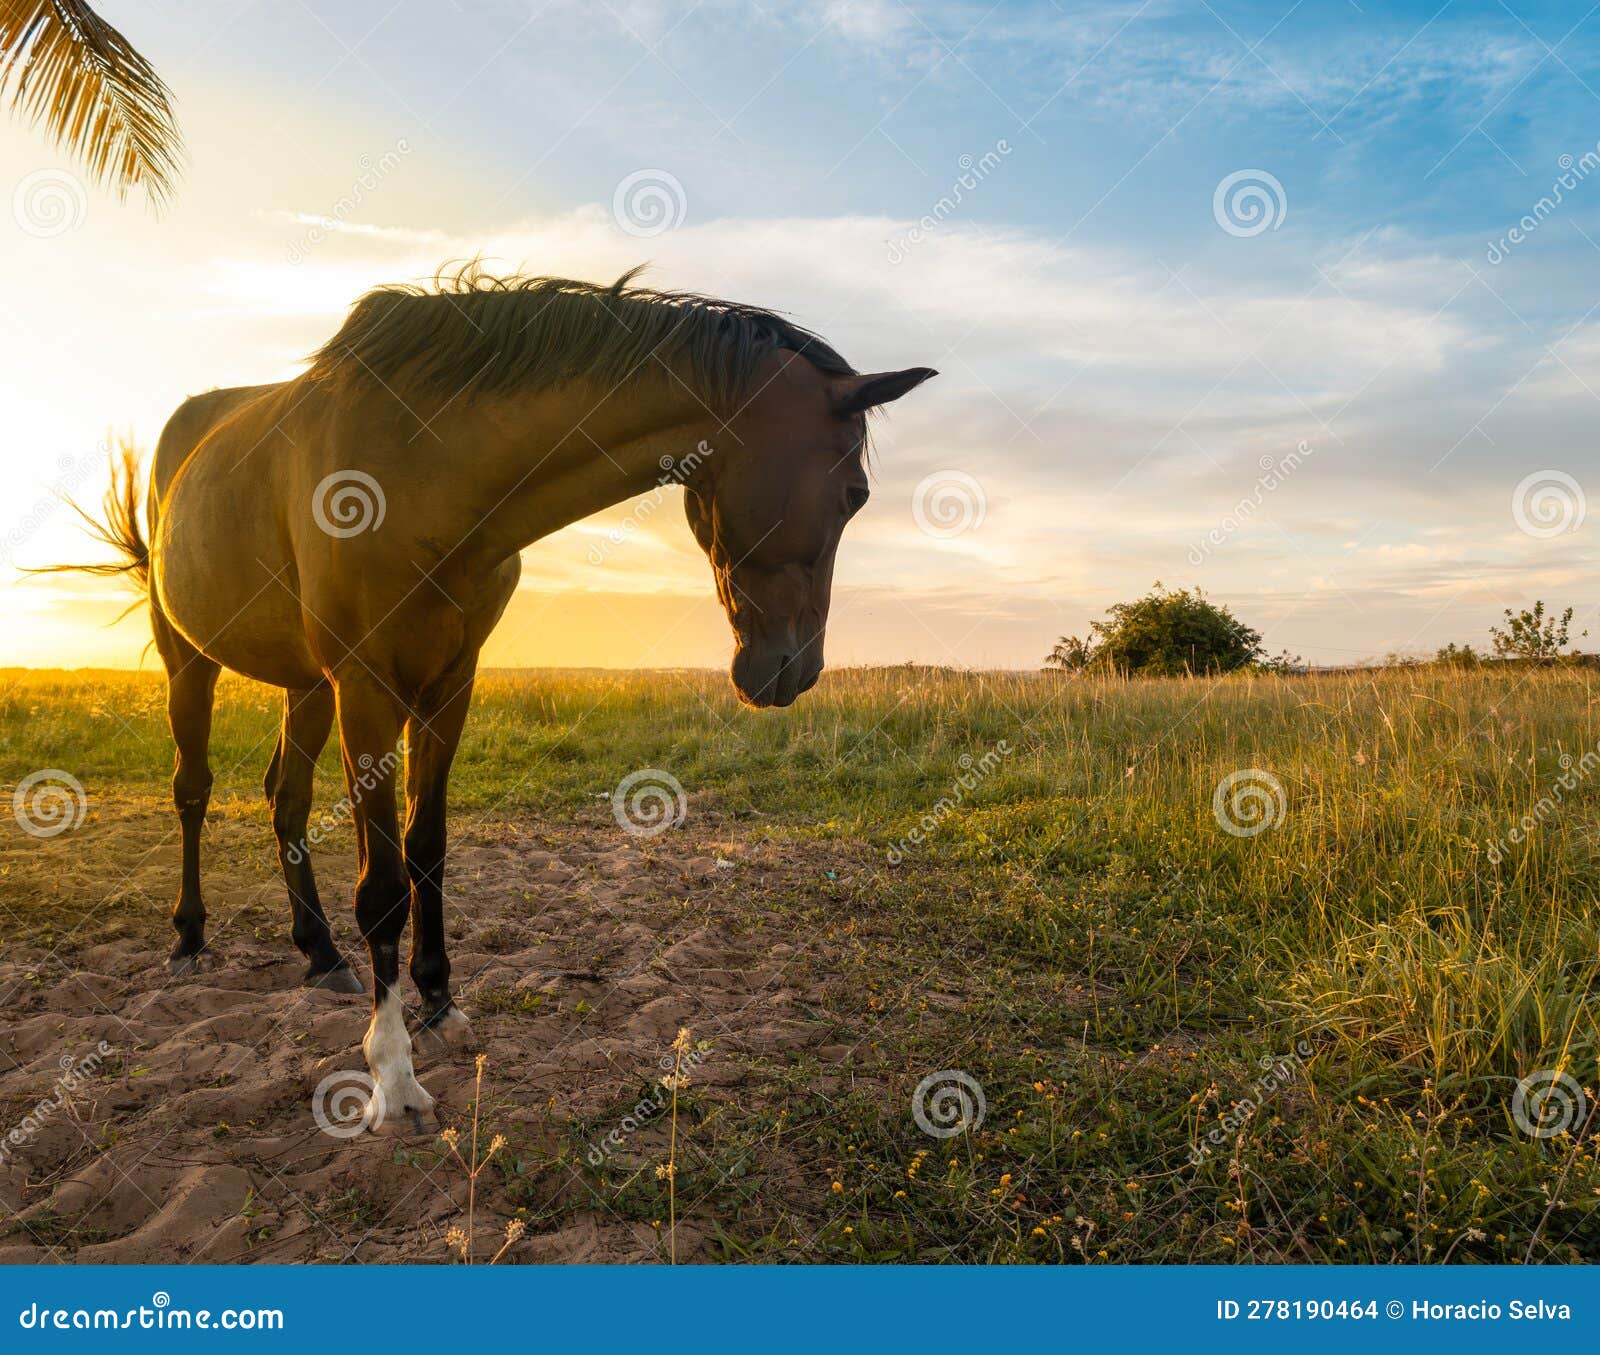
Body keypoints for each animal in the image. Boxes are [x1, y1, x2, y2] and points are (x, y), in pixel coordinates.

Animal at [75, 266, 936, 1133]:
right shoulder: (368, 686)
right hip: (192, 660)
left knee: (285, 798)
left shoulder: (449, 685)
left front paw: (438, 997)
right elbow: (382, 887)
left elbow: (427, 848)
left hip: (306, 684)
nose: (796, 670)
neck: (425, 466)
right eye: (856, 491)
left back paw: (318, 953)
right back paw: (189, 941)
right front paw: (392, 1076)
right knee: (193, 790)